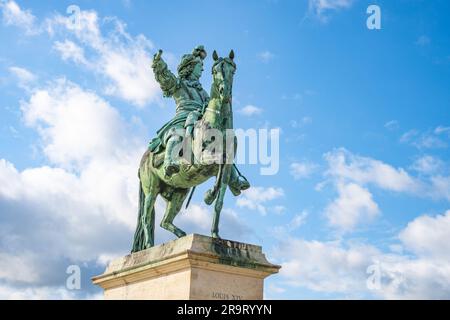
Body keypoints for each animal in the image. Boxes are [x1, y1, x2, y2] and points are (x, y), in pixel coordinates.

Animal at [132, 50, 244, 251]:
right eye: (214, 70)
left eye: (233, 69)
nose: (224, 92)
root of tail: (143, 160)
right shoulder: (203, 160)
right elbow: (218, 161)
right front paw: (209, 194)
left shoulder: (226, 169)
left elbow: (219, 202)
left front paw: (215, 234)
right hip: (151, 189)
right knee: (146, 217)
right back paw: (151, 246)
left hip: (179, 192)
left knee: (164, 221)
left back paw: (180, 237)